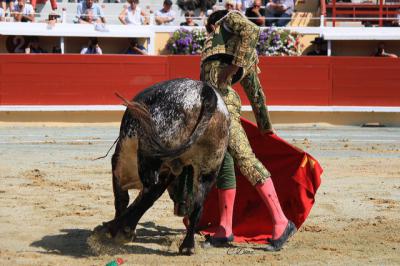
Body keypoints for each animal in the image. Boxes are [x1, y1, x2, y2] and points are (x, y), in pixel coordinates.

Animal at [98, 78, 230, 255]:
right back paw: (187, 246)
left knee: (148, 189)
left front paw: (117, 229)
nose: (181, 209)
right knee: (197, 205)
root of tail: (205, 91)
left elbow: (124, 197)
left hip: (149, 158)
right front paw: (123, 230)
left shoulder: (121, 163)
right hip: (209, 169)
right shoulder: (171, 171)